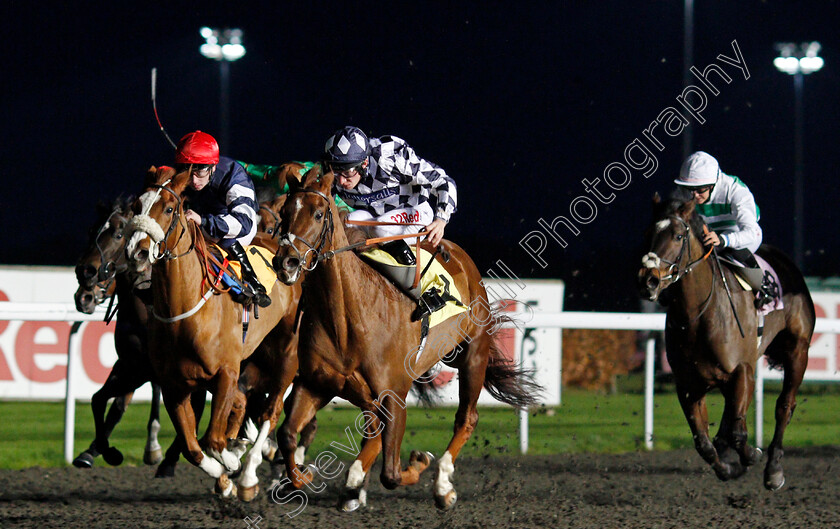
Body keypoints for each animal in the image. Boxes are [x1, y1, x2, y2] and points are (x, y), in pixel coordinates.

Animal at [126, 166, 304, 500]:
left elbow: (212, 440)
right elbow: (192, 447)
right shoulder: (175, 385)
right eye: (136, 206)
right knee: (243, 404)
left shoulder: (225, 373)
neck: (184, 312)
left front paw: (232, 463)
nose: (137, 252)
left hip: (287, 353)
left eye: (169, 208)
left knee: (270, 412)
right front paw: (223, 479)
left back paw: (248, 474)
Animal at [272, 167, 540, 510]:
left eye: (318, 213)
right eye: (284, 213)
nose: (285, 262)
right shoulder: (315, 384)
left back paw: (442, 485)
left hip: (473, 353)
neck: (346, 321)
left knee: (466, 418)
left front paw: (420, 461)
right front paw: (304, 476)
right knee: (370, 431)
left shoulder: (394, 395)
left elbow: (392, 473)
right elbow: (287, 435)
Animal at [640, 196, 812, 488]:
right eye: (648, 233)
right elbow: (704, 443)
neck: (698, 315)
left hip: (797, 350)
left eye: (677, 236)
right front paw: (729, 468)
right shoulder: (689, 384)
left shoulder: (741, 369)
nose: (648, 280)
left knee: (784, 406)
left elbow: (738, 433)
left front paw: (752, 455)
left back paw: (773, 469)